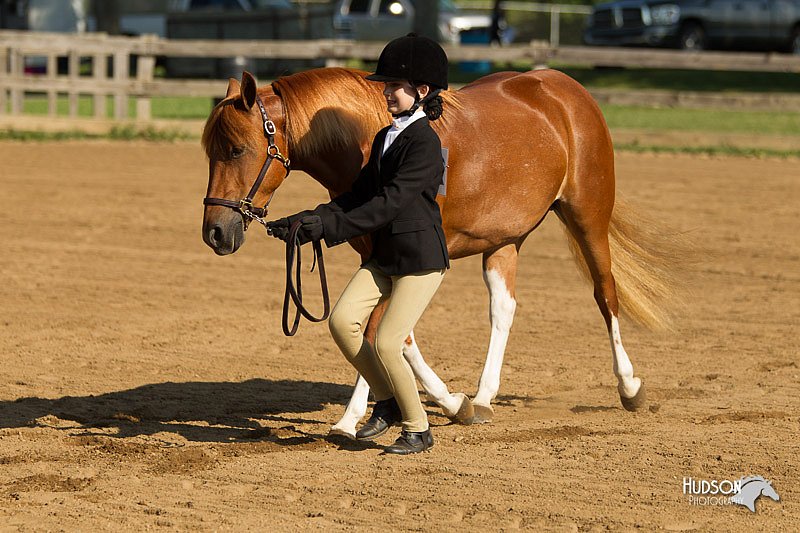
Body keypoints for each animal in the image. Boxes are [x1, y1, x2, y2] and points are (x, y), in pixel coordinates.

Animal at [200, 66, 680, 438]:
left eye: (238, 149)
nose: (215, 233)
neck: (370, 138)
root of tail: (564, 87)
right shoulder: (377, 257)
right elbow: (378, 331)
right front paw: (364, 416)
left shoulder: (413, 258)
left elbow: (387, 333)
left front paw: (440, 404)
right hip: (504, 241)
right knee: (503, 309)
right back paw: (484, 397)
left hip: (588, 217)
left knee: (605, 294)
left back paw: (629, 388)